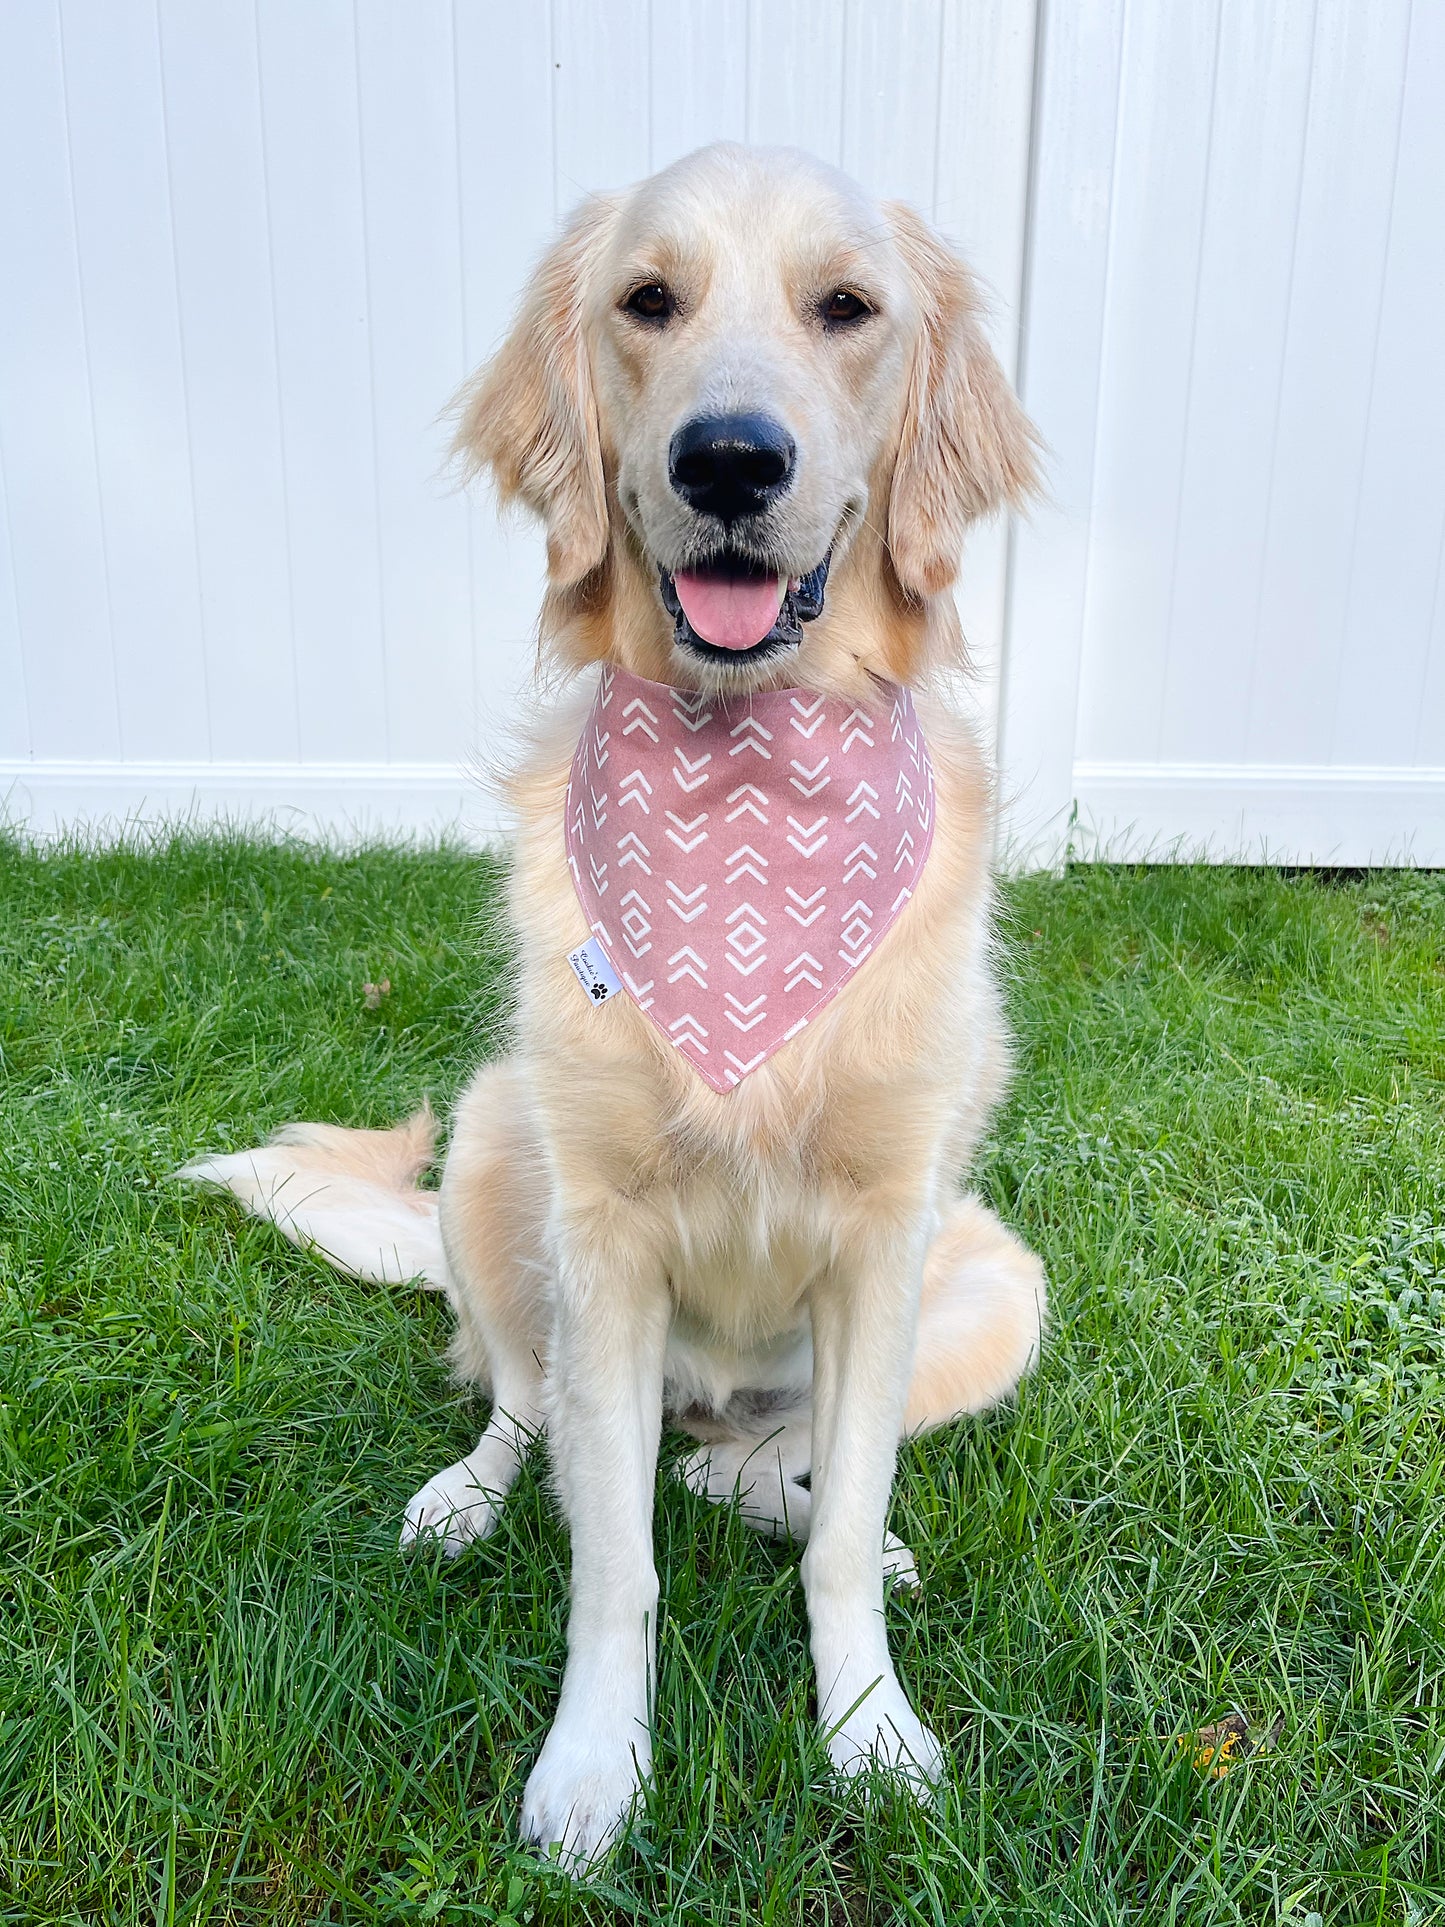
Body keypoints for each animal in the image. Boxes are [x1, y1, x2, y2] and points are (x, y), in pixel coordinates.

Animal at [186, 142, 1048, 1857]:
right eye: (649, 300)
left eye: (846, 307)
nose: (729, 460)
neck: (749, 786)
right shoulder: (602, 1230)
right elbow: (613, 1561)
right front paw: (594, 1764)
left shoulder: (889, 1233)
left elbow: (836, 1523)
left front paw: (870, 1725)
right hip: (495, 1149)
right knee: (538, 1415)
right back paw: (469, 1493)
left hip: (997, 1288)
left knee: (762, 1465)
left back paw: (792, 1495)